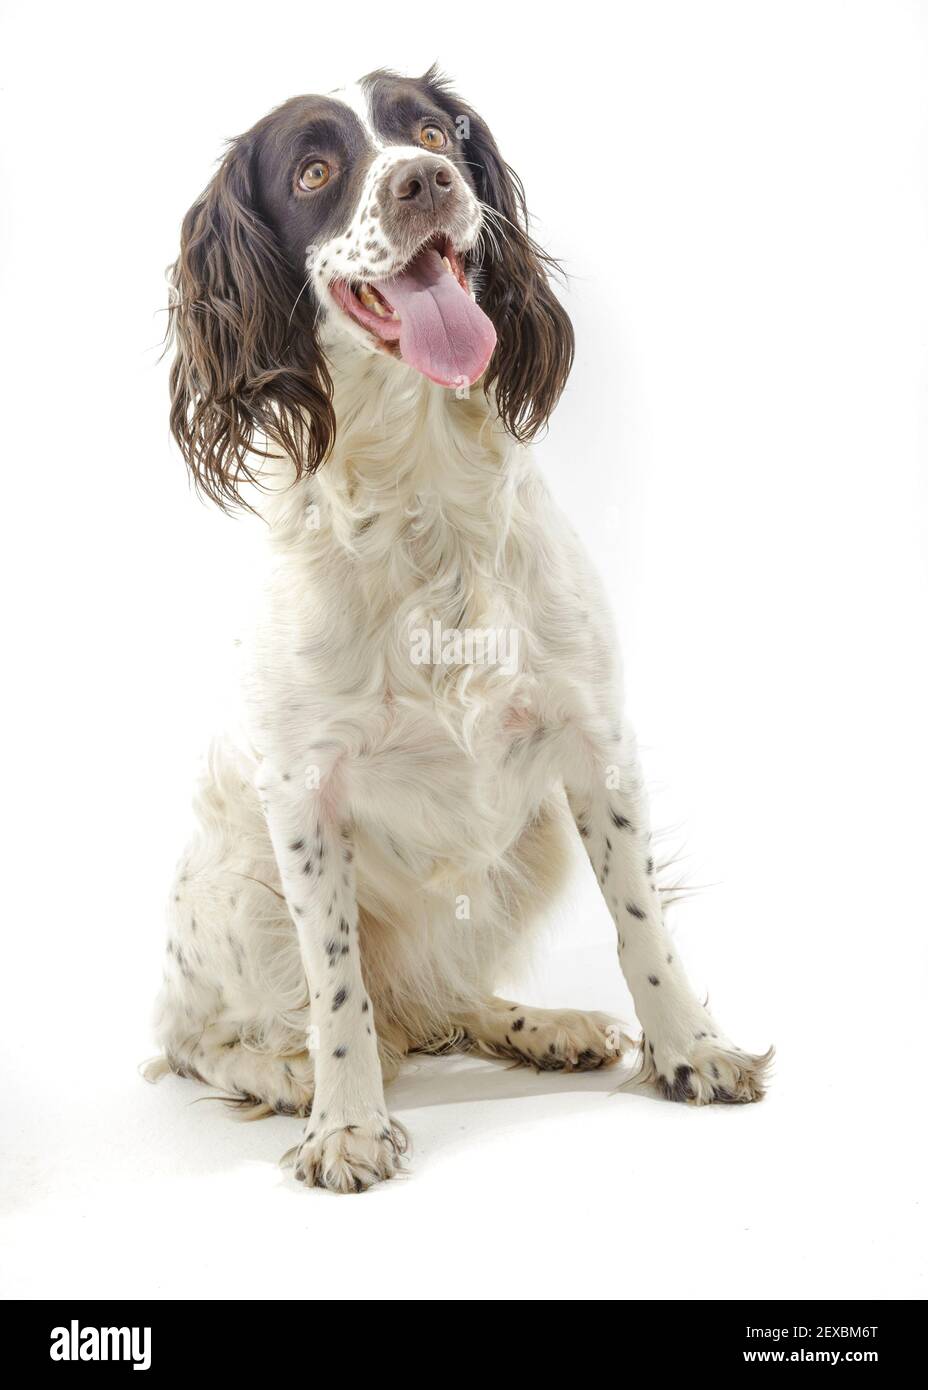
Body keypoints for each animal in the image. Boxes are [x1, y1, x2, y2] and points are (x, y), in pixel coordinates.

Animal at [152, 67, 772, 1195]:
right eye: (315, 170)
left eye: (433, 132)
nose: (424, 182)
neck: (423, 490)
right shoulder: (300, 791)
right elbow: (336, 990)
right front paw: (347, 1125)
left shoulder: (596, 741)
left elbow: (643, 925)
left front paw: (691, 1050)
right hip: (233, 884)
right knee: (202, 1037)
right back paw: (283, 1073)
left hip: (530, 847)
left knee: (438, 1000)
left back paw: (540, 1025)